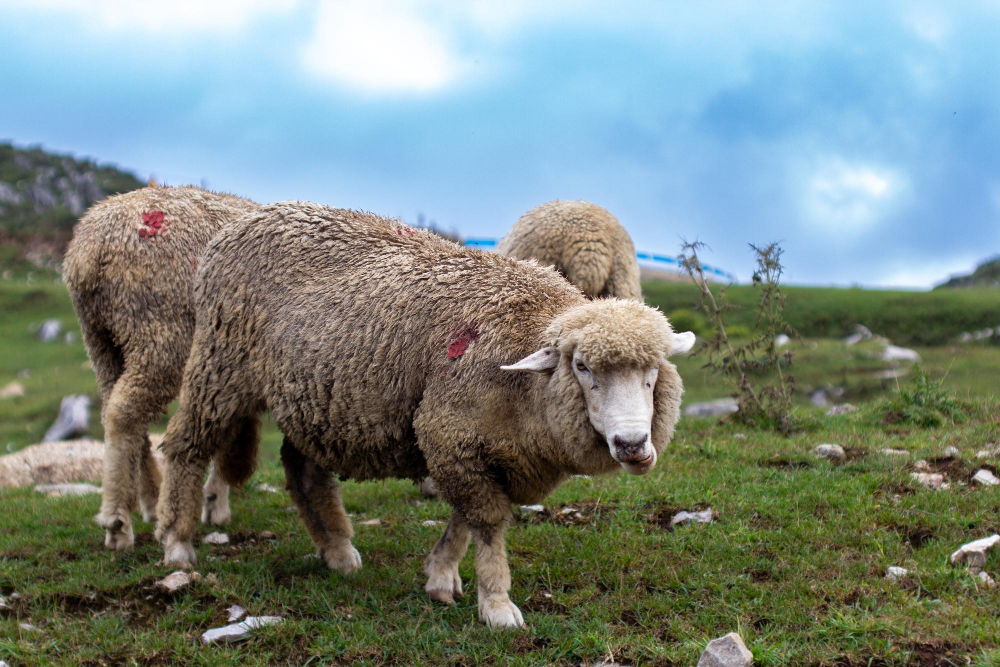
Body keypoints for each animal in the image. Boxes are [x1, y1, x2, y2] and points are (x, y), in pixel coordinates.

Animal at [62, 185, 258, 552]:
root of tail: (90, 250)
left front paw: (214, 499)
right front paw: (217, 501)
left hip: (101, 340)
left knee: (117, 409)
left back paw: (151, 500)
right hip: (159, 333)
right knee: (123, 413)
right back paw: (118, 521)